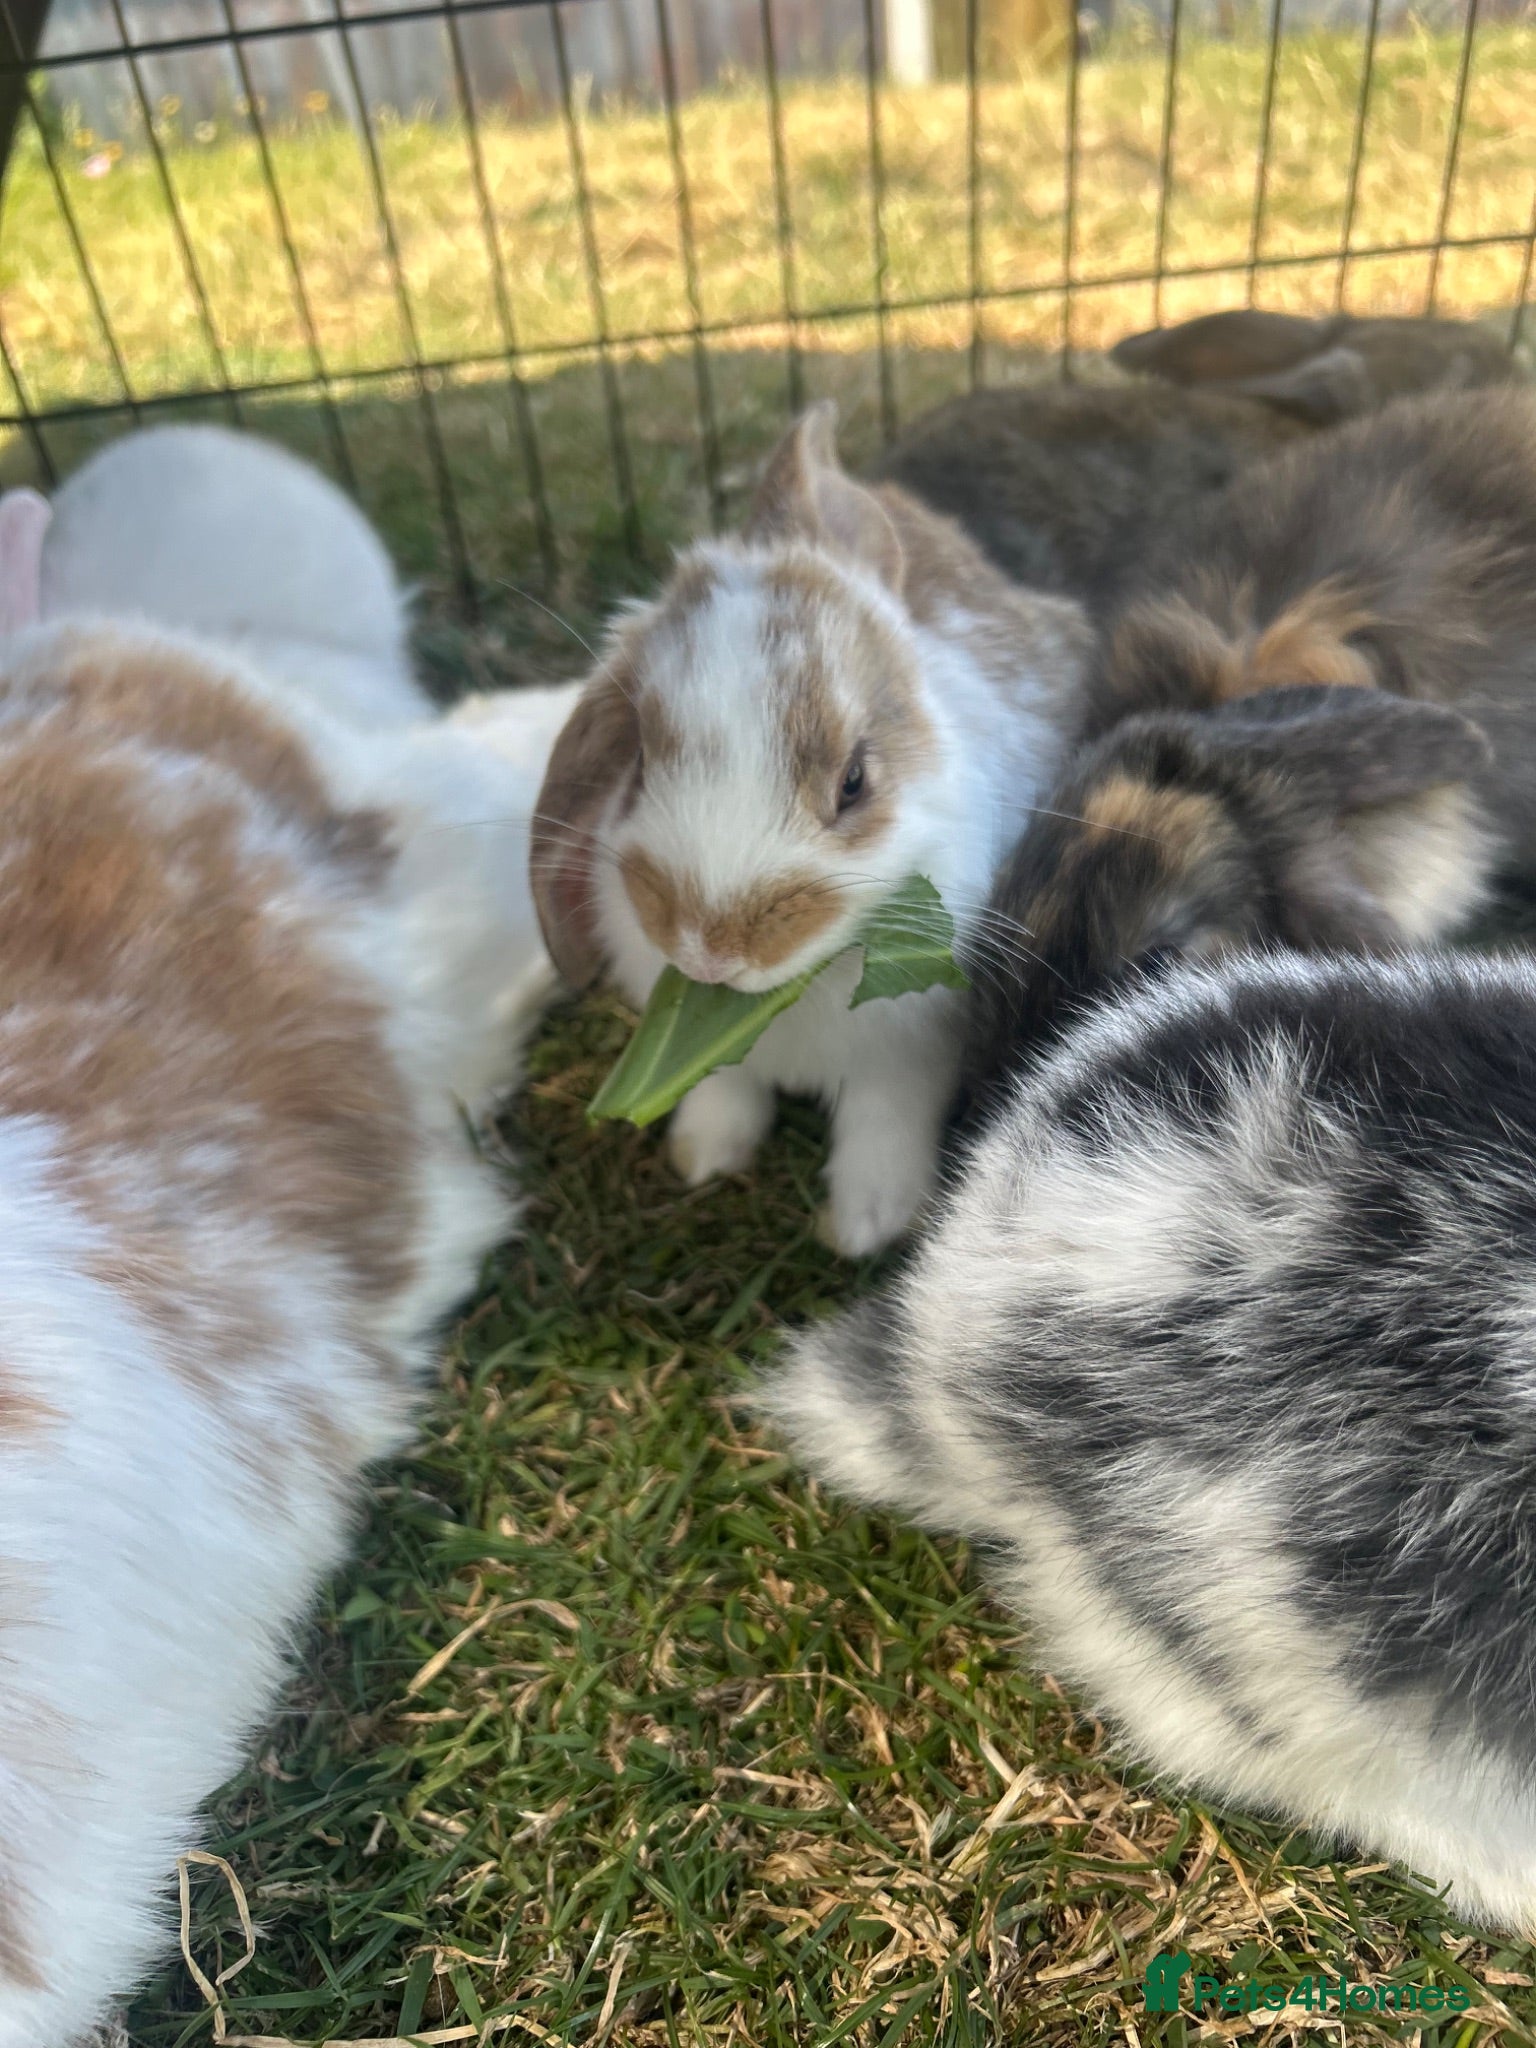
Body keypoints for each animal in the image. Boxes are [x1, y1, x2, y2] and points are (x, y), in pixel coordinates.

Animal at [531, 401, 1091, 1256]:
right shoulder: (730, 1059)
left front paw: (869, 1224)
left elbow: (882, 1121)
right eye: (642, 763)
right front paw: (705, 1155)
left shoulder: (907, 1056)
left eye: (854, 782)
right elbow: (725, 1086)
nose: (710, 951)